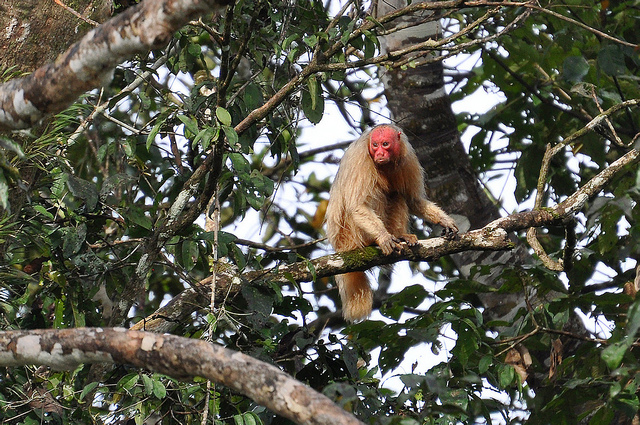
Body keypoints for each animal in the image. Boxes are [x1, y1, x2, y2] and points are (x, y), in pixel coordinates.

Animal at [328, 123, 458, 322]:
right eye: (375, 145)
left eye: (385, 144)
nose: (380, 153)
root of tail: (340, 247)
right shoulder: (360, 160)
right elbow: (358, 206)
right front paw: (383, 237)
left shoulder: (408, 159)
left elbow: (413, 200)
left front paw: (444, 220)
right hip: (352, 236)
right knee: (375, 192)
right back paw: (378, 239)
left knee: (396, 194)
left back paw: (400, 236)